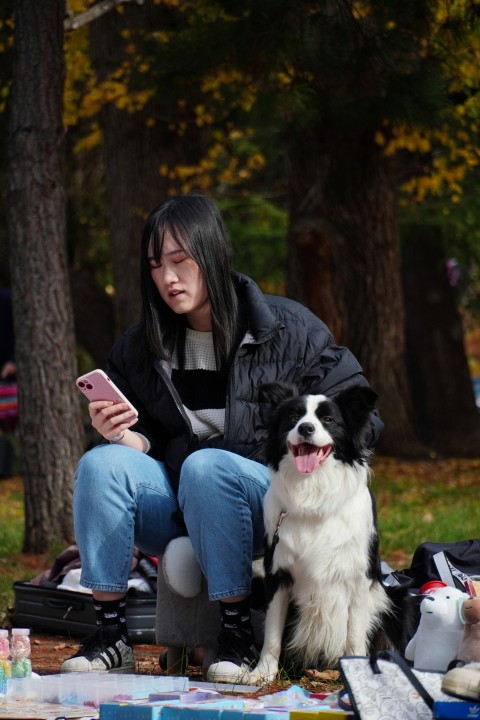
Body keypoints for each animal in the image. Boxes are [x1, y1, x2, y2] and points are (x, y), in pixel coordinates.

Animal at [248, 380, 408, 684]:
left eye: (328, 420)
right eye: (292, 418)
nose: (305, 428)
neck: (313, 495)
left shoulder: (359, 579)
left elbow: (355, 636)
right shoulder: (277, 575)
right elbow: (272, 635)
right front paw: (262, 674)